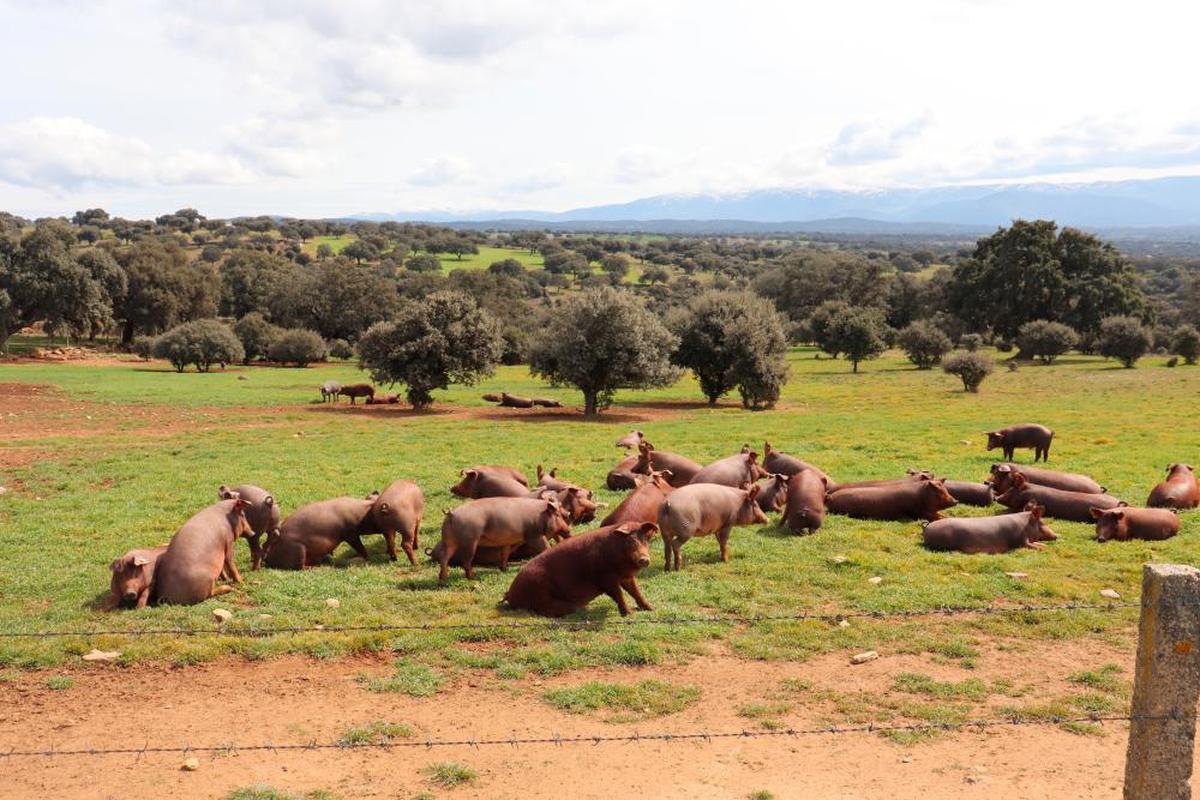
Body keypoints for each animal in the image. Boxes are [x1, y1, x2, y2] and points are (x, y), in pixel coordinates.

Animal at [439, 494, 573, 582]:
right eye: (558, 515)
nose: (569, 531)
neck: (541, 517)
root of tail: (451, 514)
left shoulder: (509, 541)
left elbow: (505, 554)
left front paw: (504, 569)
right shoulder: (534, 536)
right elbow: (545, 547)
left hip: (448, 541)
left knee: (444, 558)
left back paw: (443, 579)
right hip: (470, 541)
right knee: (466, 561)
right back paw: (472, 577)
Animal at [504, 520, 662, 618]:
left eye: (645, 540)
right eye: (629, 542)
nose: (644, 559)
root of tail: (510, 594)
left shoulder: (626, 576)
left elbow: (635, 592)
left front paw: (651, 608)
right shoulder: (604, 577)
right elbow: (618, 594)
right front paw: (629, 614)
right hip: (539, 588)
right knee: (542, 610)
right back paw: (573, 609)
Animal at [825, 474, 955, 525]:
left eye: (945, 489)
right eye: (938, 491)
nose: (955, 501)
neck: (922, 496)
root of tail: (830, 497)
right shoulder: (919, 512)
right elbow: (938, 517)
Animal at [921, 501, 1056, 556]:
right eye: (1042, 523)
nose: (1056, 535)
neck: (1026, 525)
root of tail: (926, 528)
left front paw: (1045, 546)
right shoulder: (1020, 541)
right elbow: (1032, 546)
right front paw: (1045, 548)